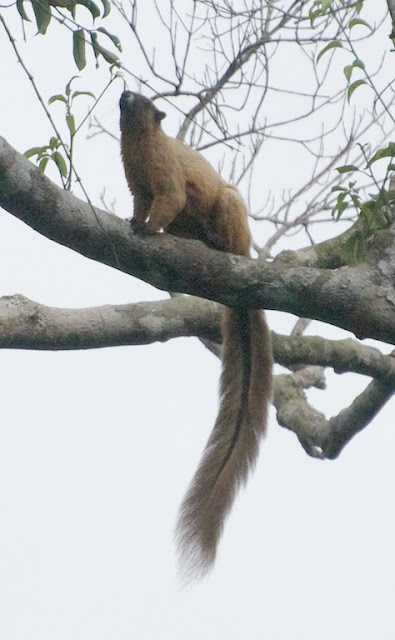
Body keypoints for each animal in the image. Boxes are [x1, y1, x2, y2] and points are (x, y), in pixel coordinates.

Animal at [120, 91, 272, 580]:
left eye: (140, 98)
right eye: (126, 94)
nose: (124, 95)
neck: (139, 147)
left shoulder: (166, 176)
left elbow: (170, 198)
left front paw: (148, 229)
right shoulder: (137, 187)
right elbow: (140, 203)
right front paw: (134, 223)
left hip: (229, 206)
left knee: (222, 211)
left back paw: (222, 248)